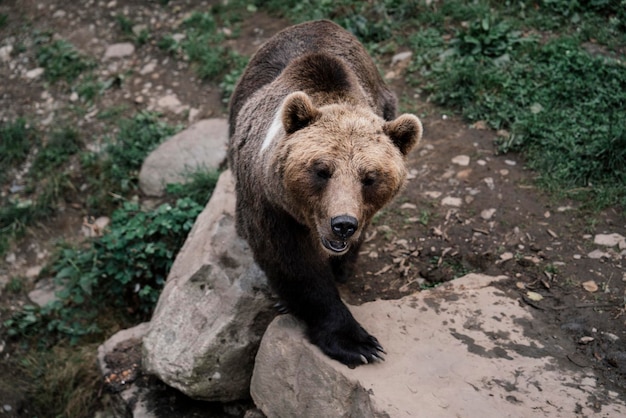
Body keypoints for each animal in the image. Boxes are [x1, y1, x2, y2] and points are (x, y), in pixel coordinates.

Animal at [227, 20, 422, 366]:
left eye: (369, 177)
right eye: (321, 170)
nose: (343, 224)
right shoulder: (271, 205)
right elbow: (295, 266)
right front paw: (357, 343)